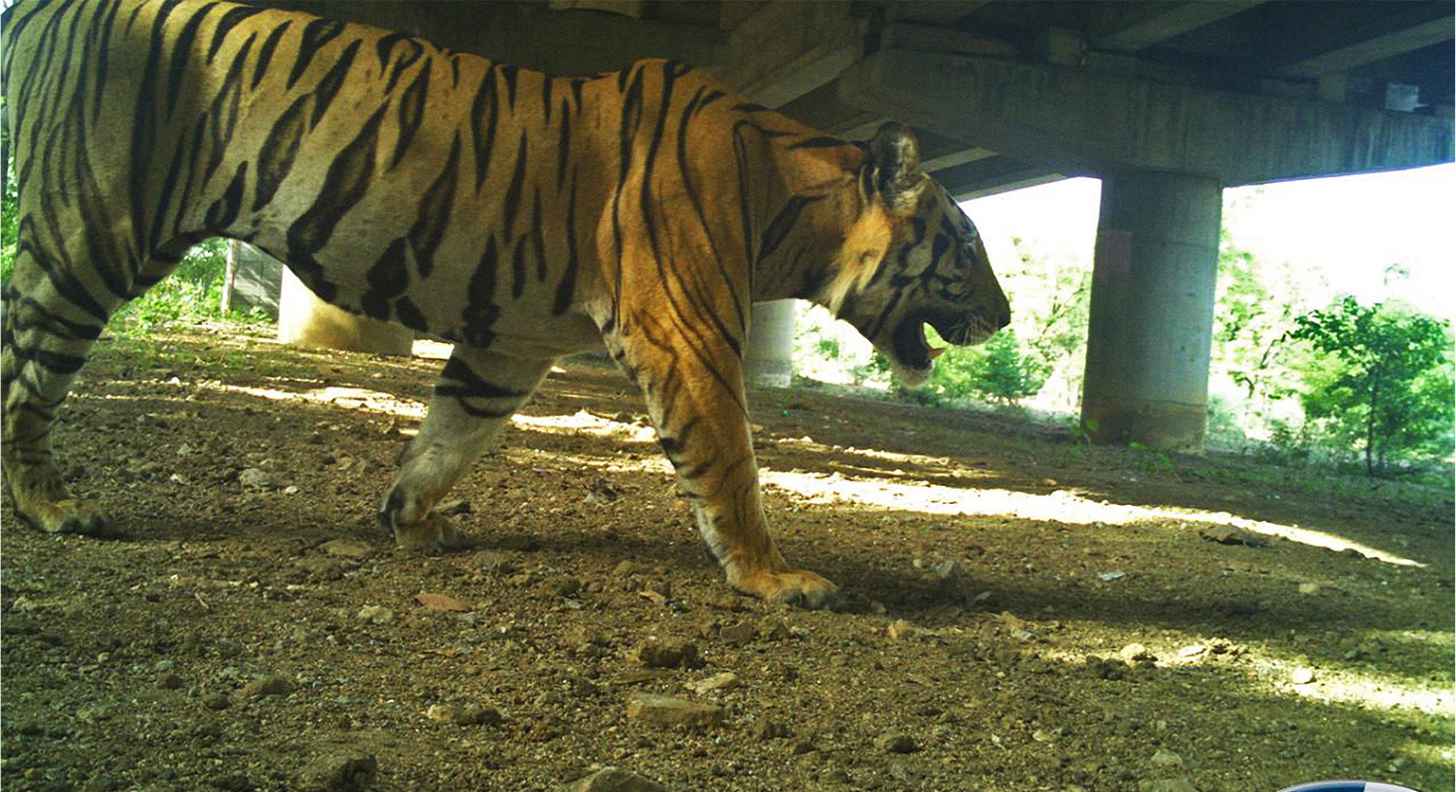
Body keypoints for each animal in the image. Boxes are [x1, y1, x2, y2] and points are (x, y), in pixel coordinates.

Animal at [1, 0, 1010, 607]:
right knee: (26, 371)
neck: (792, 211)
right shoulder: (684, 334)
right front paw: (773, 576)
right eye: (967, 247)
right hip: (94, 229)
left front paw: (410, 520)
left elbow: (449, 436)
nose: (1003, 317)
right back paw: (53, 508)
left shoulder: (508, 343)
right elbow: (731, 464)